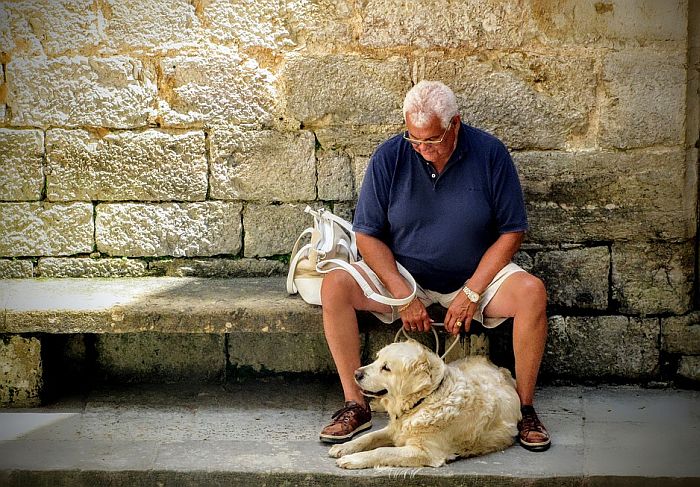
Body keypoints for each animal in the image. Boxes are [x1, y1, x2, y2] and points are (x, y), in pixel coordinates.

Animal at [328, 340, 520, 468]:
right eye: (376, 359)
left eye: (386, 368)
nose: (356, 373)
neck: (424, 401)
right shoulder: (394, 429)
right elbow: (368, 437)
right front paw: (343, 447)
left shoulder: (424, 452)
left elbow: (381, 451)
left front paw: (353, 459)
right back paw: (376, 404)